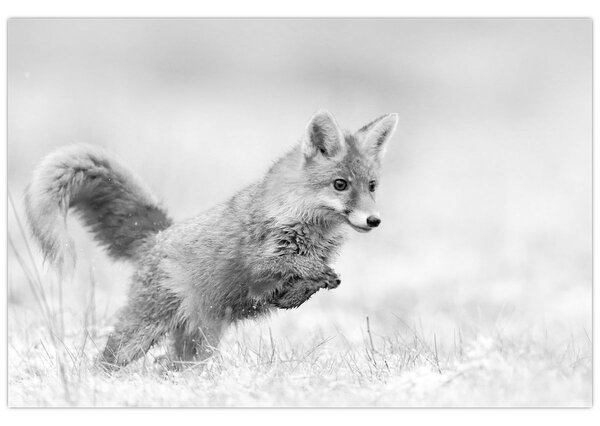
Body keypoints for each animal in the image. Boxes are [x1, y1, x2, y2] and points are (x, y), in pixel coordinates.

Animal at [24, 109, 398, 370]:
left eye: (372, 186)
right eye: (340, 184)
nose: (374, 220)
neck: (305, 223)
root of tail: (158, 236)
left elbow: (305, 282)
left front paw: (303, 291)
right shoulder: (257, 262)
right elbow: (294, 264)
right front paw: (313, 275)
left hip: (197, 339)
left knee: (168, 365)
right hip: (149, 331)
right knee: (109, 361)